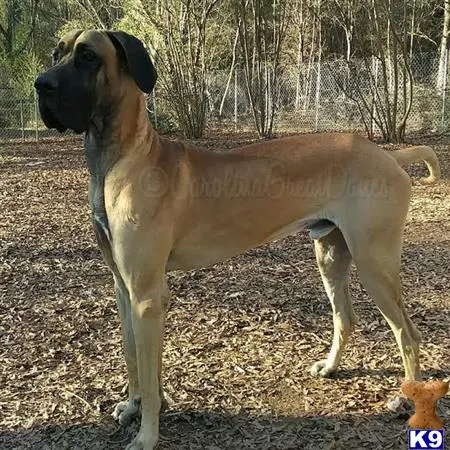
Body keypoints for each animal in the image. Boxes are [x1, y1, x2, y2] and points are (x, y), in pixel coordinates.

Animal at [34, 29, 440, 448]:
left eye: (88, 56)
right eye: (57, 53)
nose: (40, 85)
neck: (120, 158)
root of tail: (388, 154)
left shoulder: (146, 294)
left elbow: (147, 372)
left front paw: (147, 433)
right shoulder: (124, 288)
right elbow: (134, 357)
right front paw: (132, 406)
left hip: (375, 262)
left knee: (408, 333)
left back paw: (406, 398)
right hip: (330, 254)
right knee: (346, 317)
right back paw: (329, 367)